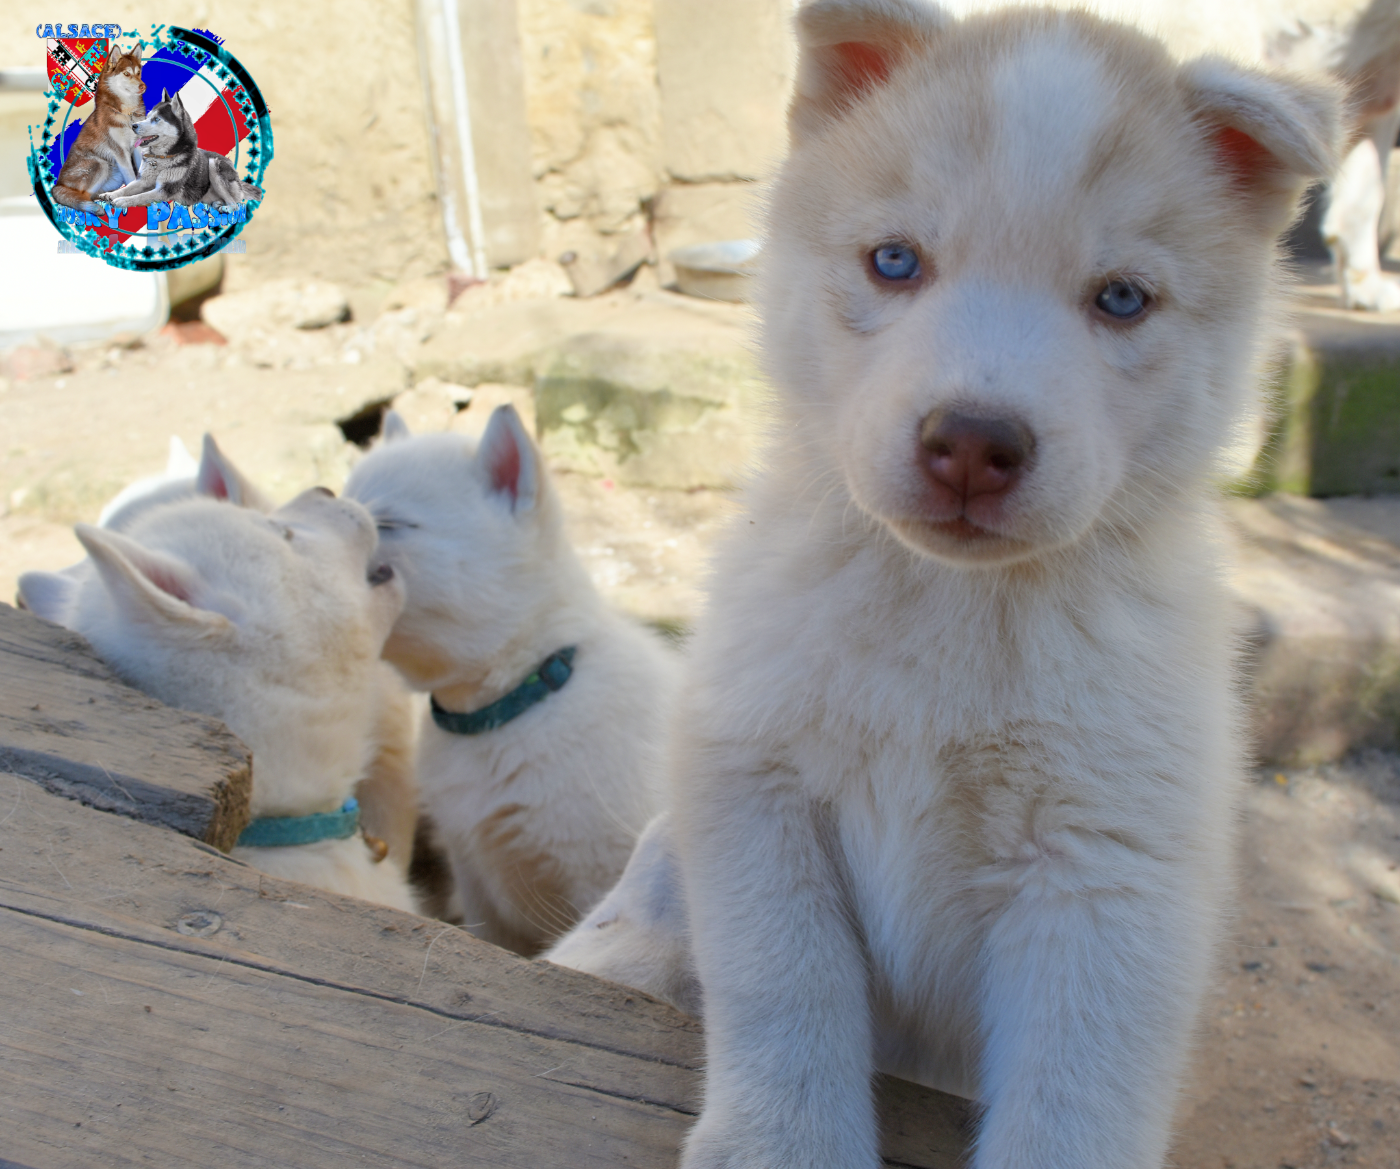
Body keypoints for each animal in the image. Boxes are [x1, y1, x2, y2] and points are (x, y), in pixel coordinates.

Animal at [51, 43, 145, 215]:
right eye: (126, 73)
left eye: (138, 73)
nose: (143, 86)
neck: (126, 114)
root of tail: (58, 185)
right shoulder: (120, 151)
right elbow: (131, 177)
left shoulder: (137, 146)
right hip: (100, 164)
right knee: (82, 196)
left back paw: (105, 198)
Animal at [100, 88, 263, 211]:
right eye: (148, 116)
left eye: (156, 119)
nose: (133, 125)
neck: (162, 158)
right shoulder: (143, 181)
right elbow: (127, 188)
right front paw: (111, 194)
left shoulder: (164, 191)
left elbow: (140, 196)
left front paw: (122, 200)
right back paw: (217, 204)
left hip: (213, 164)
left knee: (235, 204)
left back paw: (226, 208)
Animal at [655, 3, 1343, 1167]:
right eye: (895, 260)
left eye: (1121, 298)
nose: (973, 442)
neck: (953, 609)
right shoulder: (754, 786)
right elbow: (785, 985)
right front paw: (783, 1139)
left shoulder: (1105, 876)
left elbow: (1072, 1096)